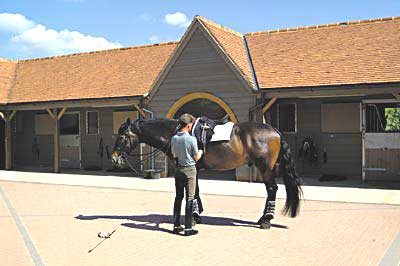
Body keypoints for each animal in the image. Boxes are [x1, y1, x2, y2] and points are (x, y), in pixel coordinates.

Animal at [111, 118, 302, 229]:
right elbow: (196, 191)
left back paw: (265, 220)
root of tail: (273, 130)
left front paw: (194, 216)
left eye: (122, 135)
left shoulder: (190, 167)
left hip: (264, 168)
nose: (114, 157)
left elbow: (193, 191)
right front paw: (197, 213)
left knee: (272, 189)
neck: (176, 133)